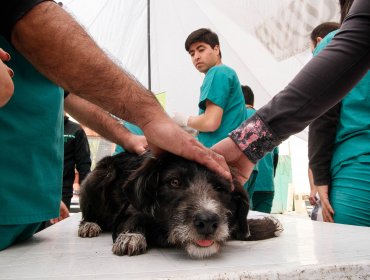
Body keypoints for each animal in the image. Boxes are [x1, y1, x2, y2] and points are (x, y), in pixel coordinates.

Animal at [79, 152, 284, 260]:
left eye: (220, 188)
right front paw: (131, 237)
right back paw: (89, 224)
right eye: (175, 182)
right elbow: (133, 220)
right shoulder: (132, 207)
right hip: (101, 174)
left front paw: (269, 225)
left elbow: (240, 228)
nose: (207, 222)